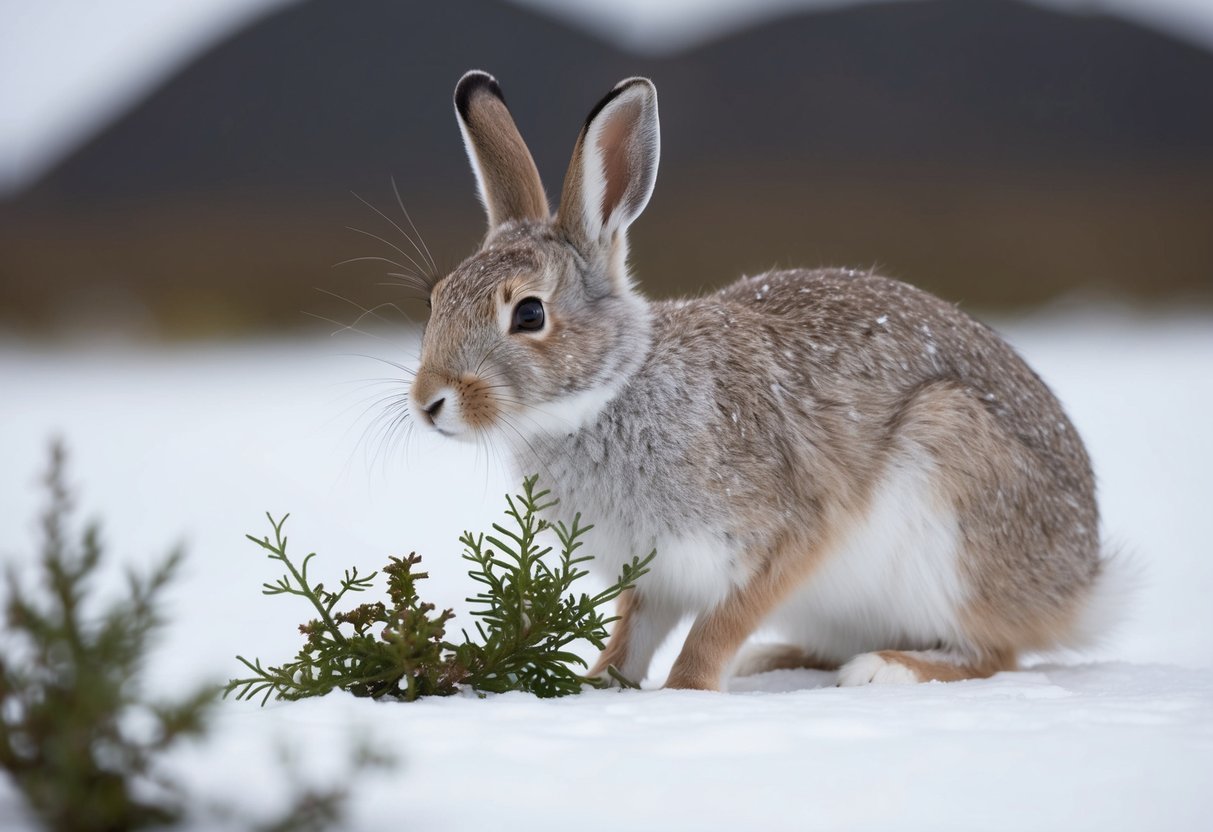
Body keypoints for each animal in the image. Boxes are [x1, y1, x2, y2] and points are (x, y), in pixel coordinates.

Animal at [409, 70, 1123, 691]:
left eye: (530, 314)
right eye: (437, 297)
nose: (428, 403)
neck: (608, 394)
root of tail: (1082, 579)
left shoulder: (787, 533)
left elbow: (717, 627)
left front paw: (686, 691)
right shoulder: (653, 576)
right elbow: (632, 636)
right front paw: (598, 684)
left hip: (954, 495)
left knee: (995, 652)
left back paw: (881, 669)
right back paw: (774, 659)